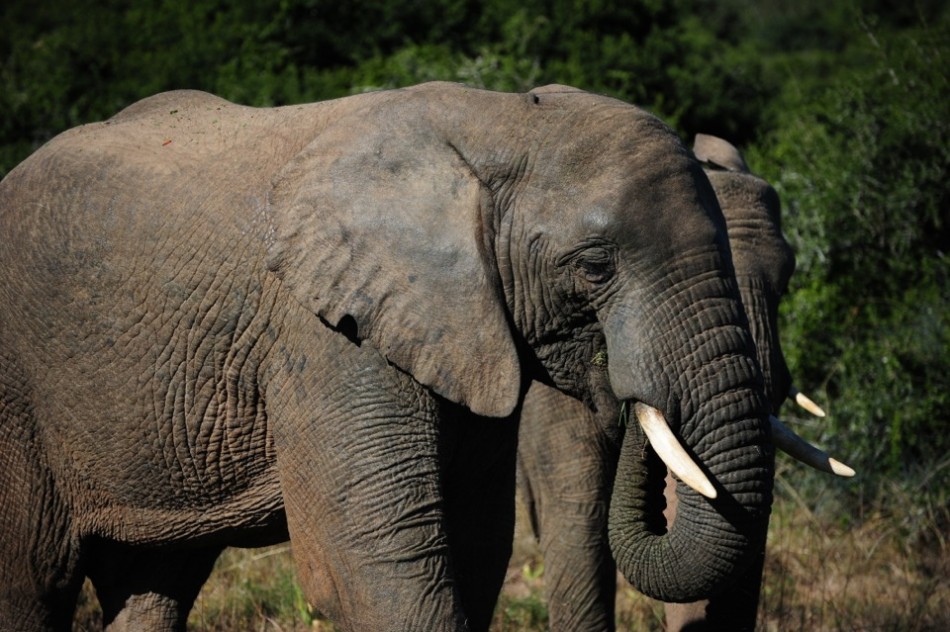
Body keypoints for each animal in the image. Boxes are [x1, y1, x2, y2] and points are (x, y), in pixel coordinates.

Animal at [1, 82, 779, 632]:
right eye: (594, 267)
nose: (616, 383)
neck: (498, 124)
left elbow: (477, 548)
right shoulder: (325, 337)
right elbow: (369, 570)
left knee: (156, 584)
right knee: (30, 580)